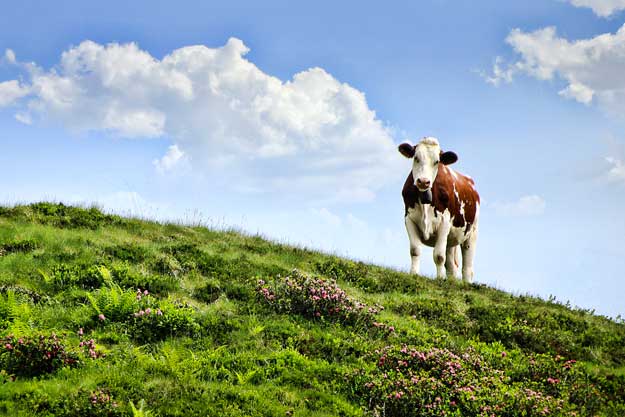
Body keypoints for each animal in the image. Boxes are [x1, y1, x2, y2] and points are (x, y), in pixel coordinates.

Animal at [398, 136, 480, 280]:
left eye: (437, 162)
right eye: (416, 157)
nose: (423, 181)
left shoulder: (444, 223)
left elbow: (439, 256)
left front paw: (440, 279)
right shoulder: (409, 219)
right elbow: (415, 250)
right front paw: (414, 273)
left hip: (471, 233)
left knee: (467, 268)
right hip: (451, 239)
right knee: (452, 265)